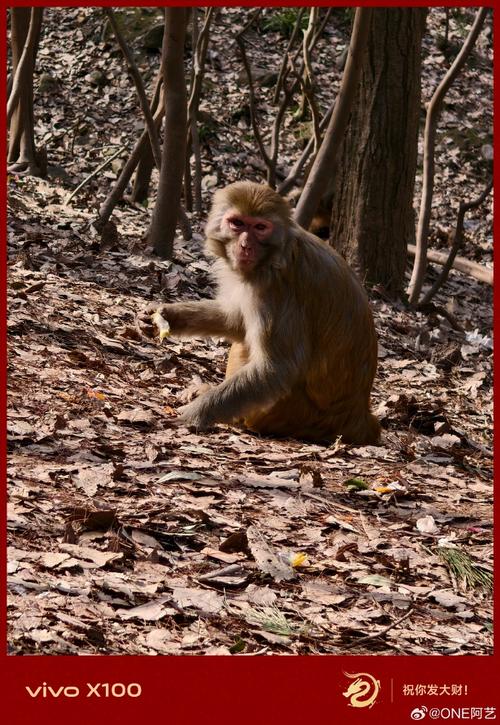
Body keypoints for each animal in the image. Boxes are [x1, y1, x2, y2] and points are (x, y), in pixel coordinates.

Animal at [139, 178, 380, 444]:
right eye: (237, 223)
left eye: (260, 227)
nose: (245, 245)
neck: (275, 255)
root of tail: (359, 419)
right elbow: (235, 321)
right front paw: (167, 315)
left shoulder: (275, 290)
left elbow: (277, 368)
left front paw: (194, 414)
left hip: (294, 414)